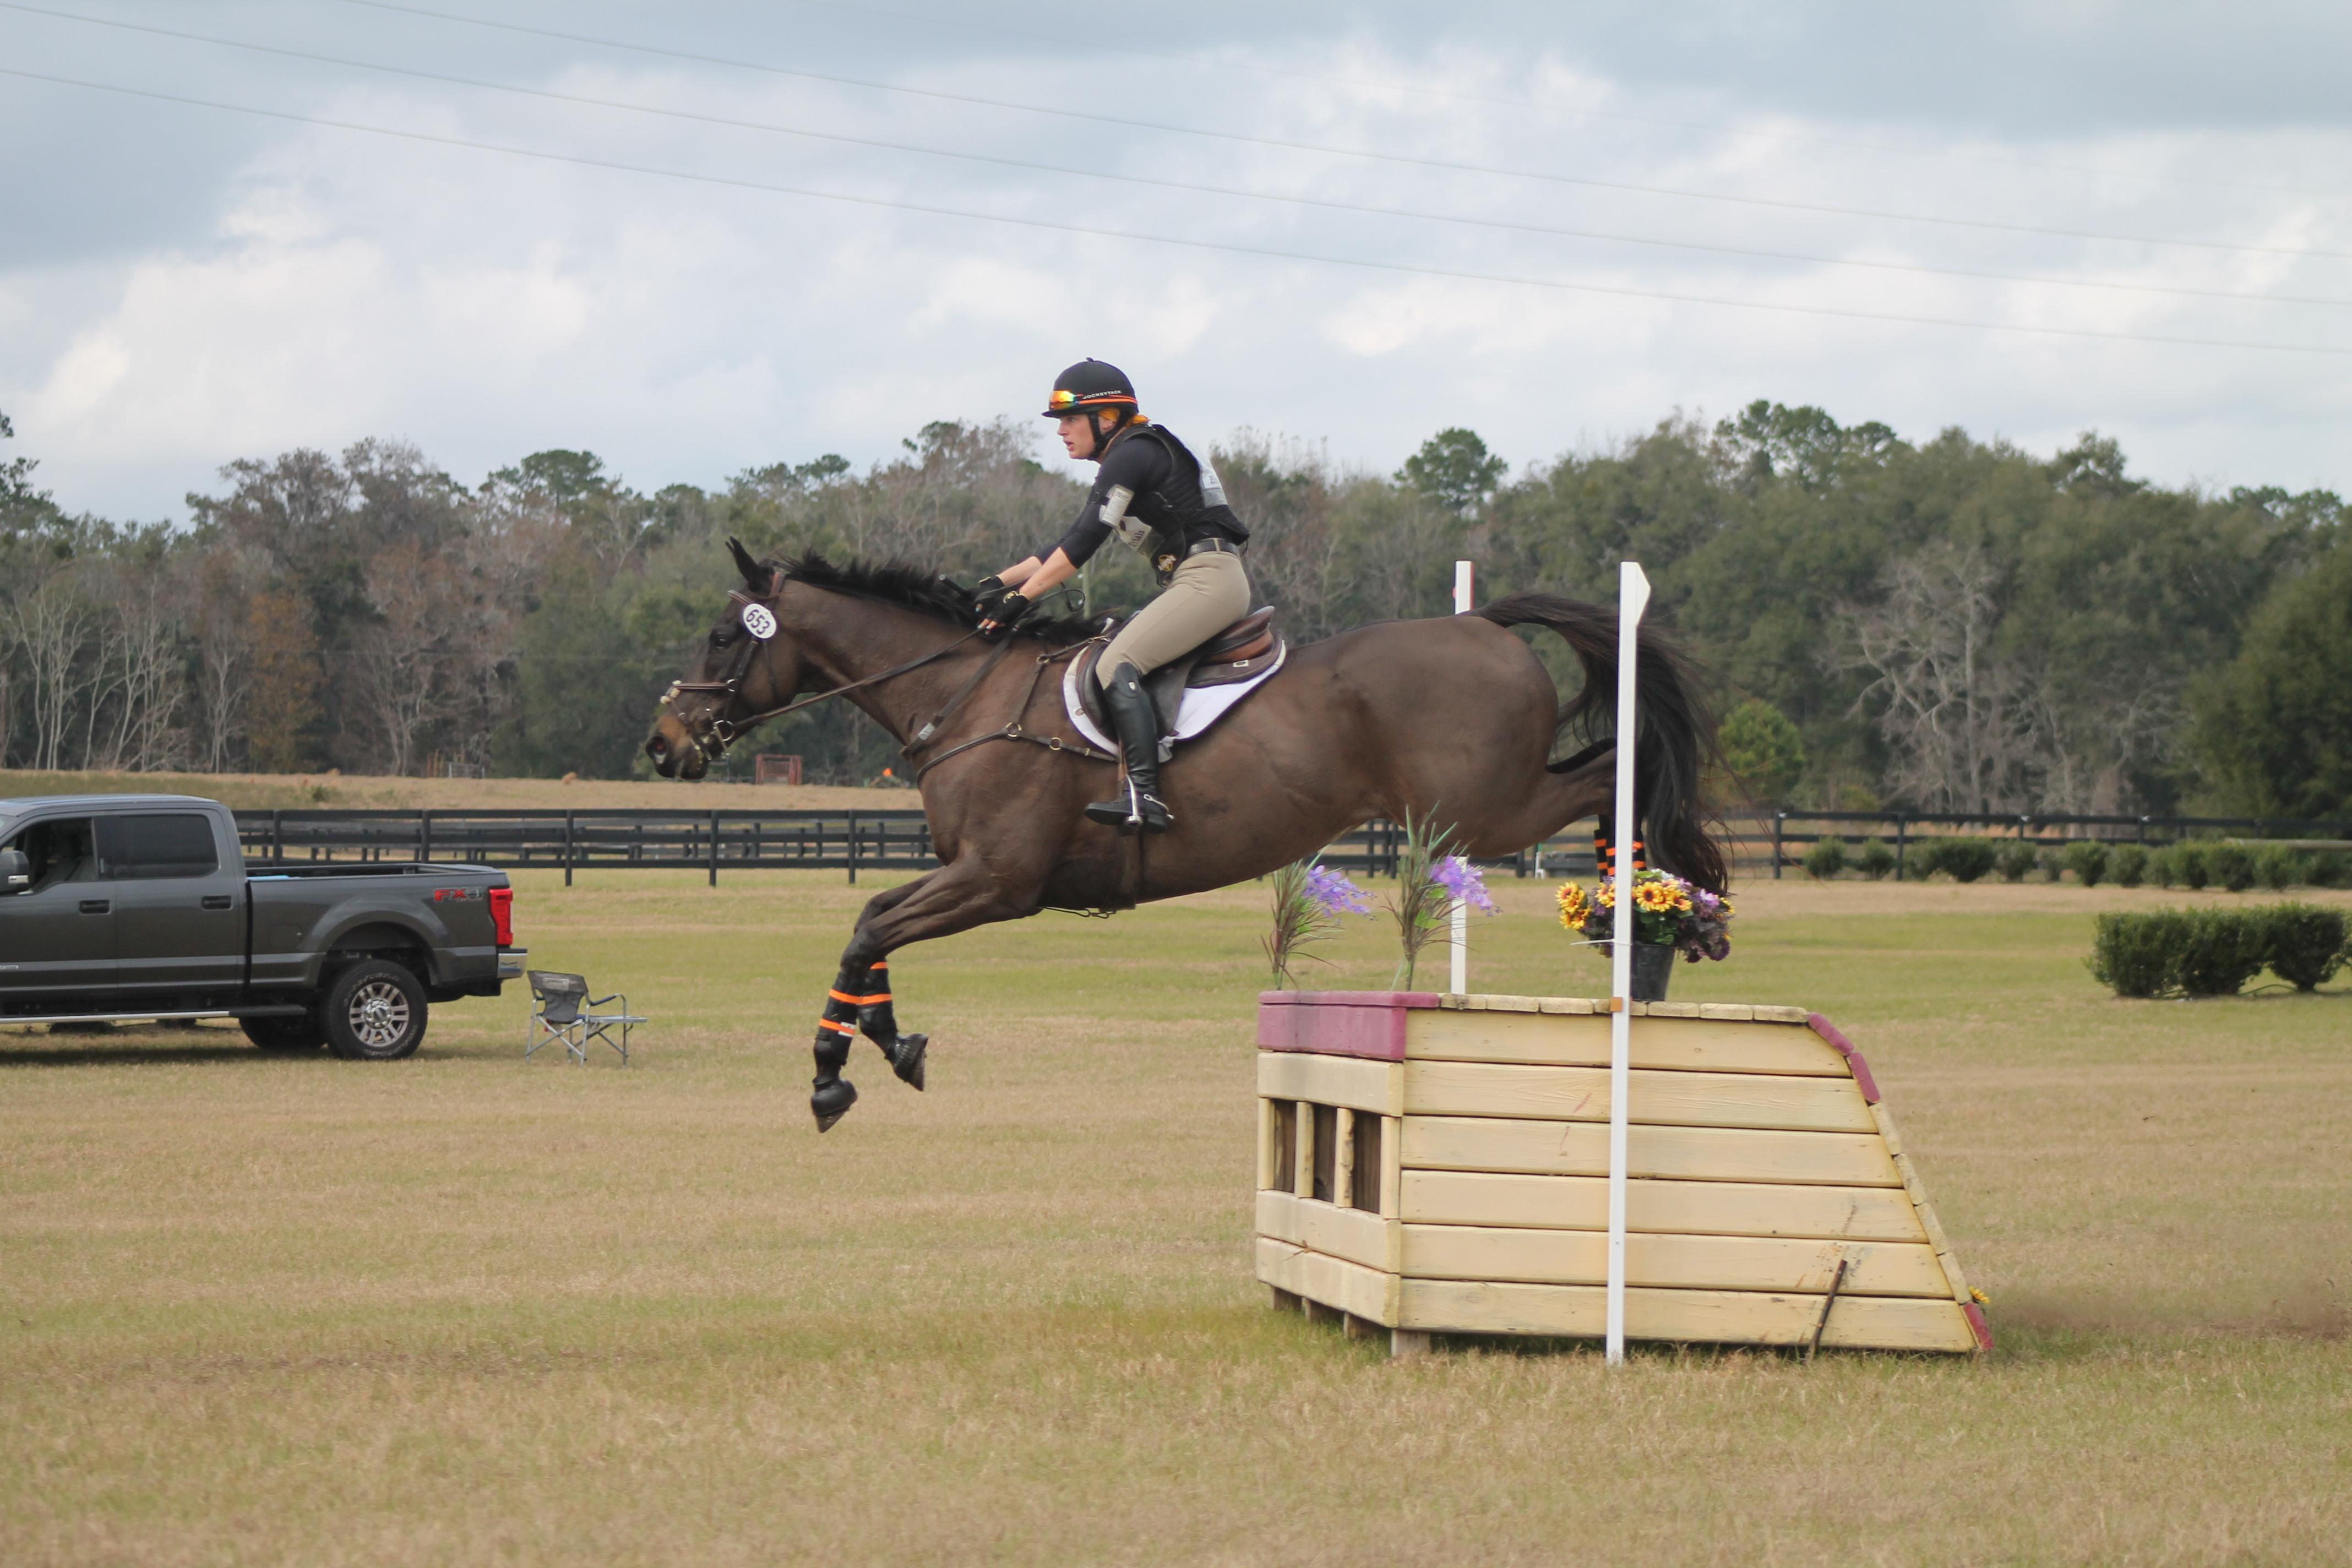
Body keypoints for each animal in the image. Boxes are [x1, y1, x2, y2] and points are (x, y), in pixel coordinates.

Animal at [646, 541, 1723, 1130]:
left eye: (722, 636)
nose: (663, 746)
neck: (961, 692)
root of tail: (1487, 623)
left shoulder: (997, 881)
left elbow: (870, 925)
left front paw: (833, 1074)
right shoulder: (970, 877)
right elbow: (870, 925)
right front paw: (887, 1038)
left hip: (1484, 807)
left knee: (1615, 773)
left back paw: (1670, 909)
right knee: (1611, 769)